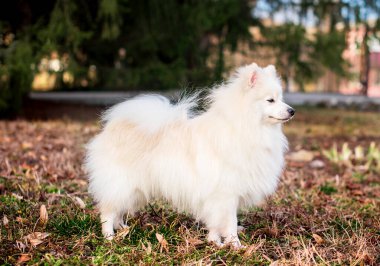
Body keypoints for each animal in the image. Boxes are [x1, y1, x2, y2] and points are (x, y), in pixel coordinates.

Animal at [85, 62, 294, 247]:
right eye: (270, 100)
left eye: (281, 98)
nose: (292, 110)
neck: (245, 127)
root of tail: (112, 127)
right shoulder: (225, 194)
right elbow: (230, 223)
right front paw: (235, 245)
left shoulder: (216, 198)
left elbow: (216, 223)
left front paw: (215, 242)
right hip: (122, 183)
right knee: (108, 211)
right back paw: (109, 237)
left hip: (135, 189)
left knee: (118, 210)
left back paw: (123, 229)